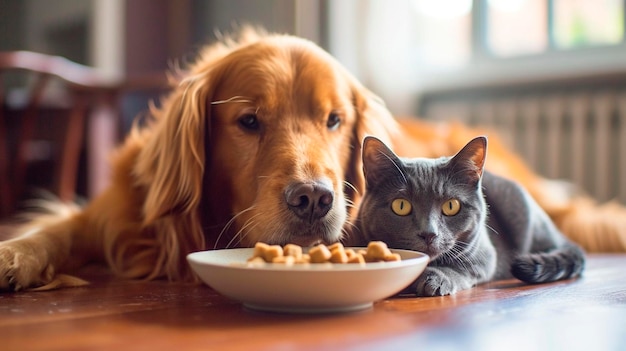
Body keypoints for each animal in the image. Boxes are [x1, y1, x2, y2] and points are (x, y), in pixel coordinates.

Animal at [356, 135, 584, 296]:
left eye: (451, 206)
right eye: (401, 205)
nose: (429, 233)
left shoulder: (485, 254)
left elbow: (462, 266)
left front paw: (436, 279)